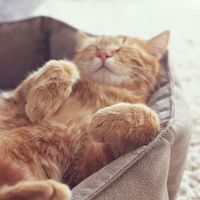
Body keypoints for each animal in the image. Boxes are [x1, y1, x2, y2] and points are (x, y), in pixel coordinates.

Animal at [0, 30, 170, 199]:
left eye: (123, 46)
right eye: (94, 47)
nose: (103, 53)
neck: (102, 90)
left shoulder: (89, 163)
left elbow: (151, 117)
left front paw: (103, 118)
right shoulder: (16, 100)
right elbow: (64, 64)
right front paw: (41, 101)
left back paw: (50, 191)